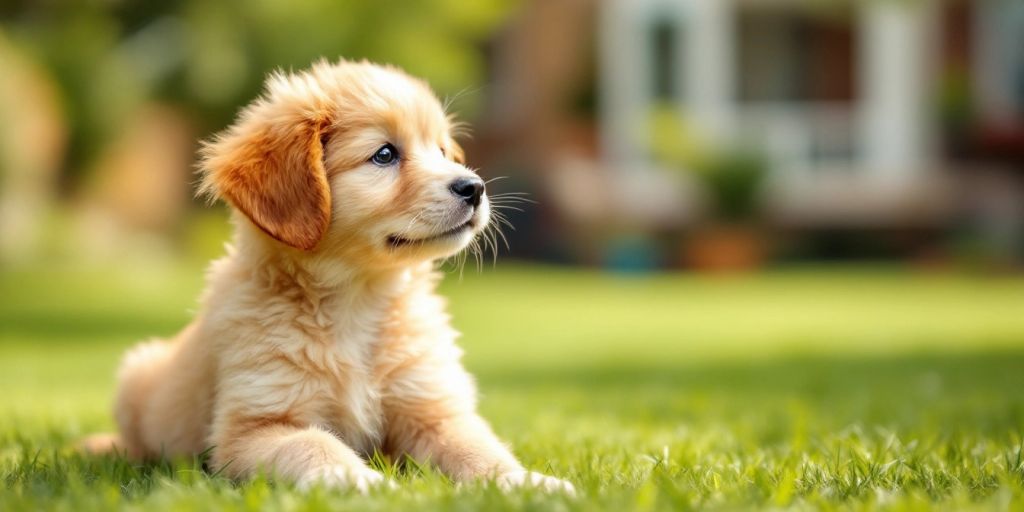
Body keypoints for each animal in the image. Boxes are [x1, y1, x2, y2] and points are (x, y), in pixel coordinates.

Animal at [81, 58, 577, 493]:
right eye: (384, 154)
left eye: (440, 150)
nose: (474, 188)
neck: (357, 298)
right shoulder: (256, 427)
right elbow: (314, 446)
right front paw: (366, 485)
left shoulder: (431, 407)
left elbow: (480, 449)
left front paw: (528, 483)